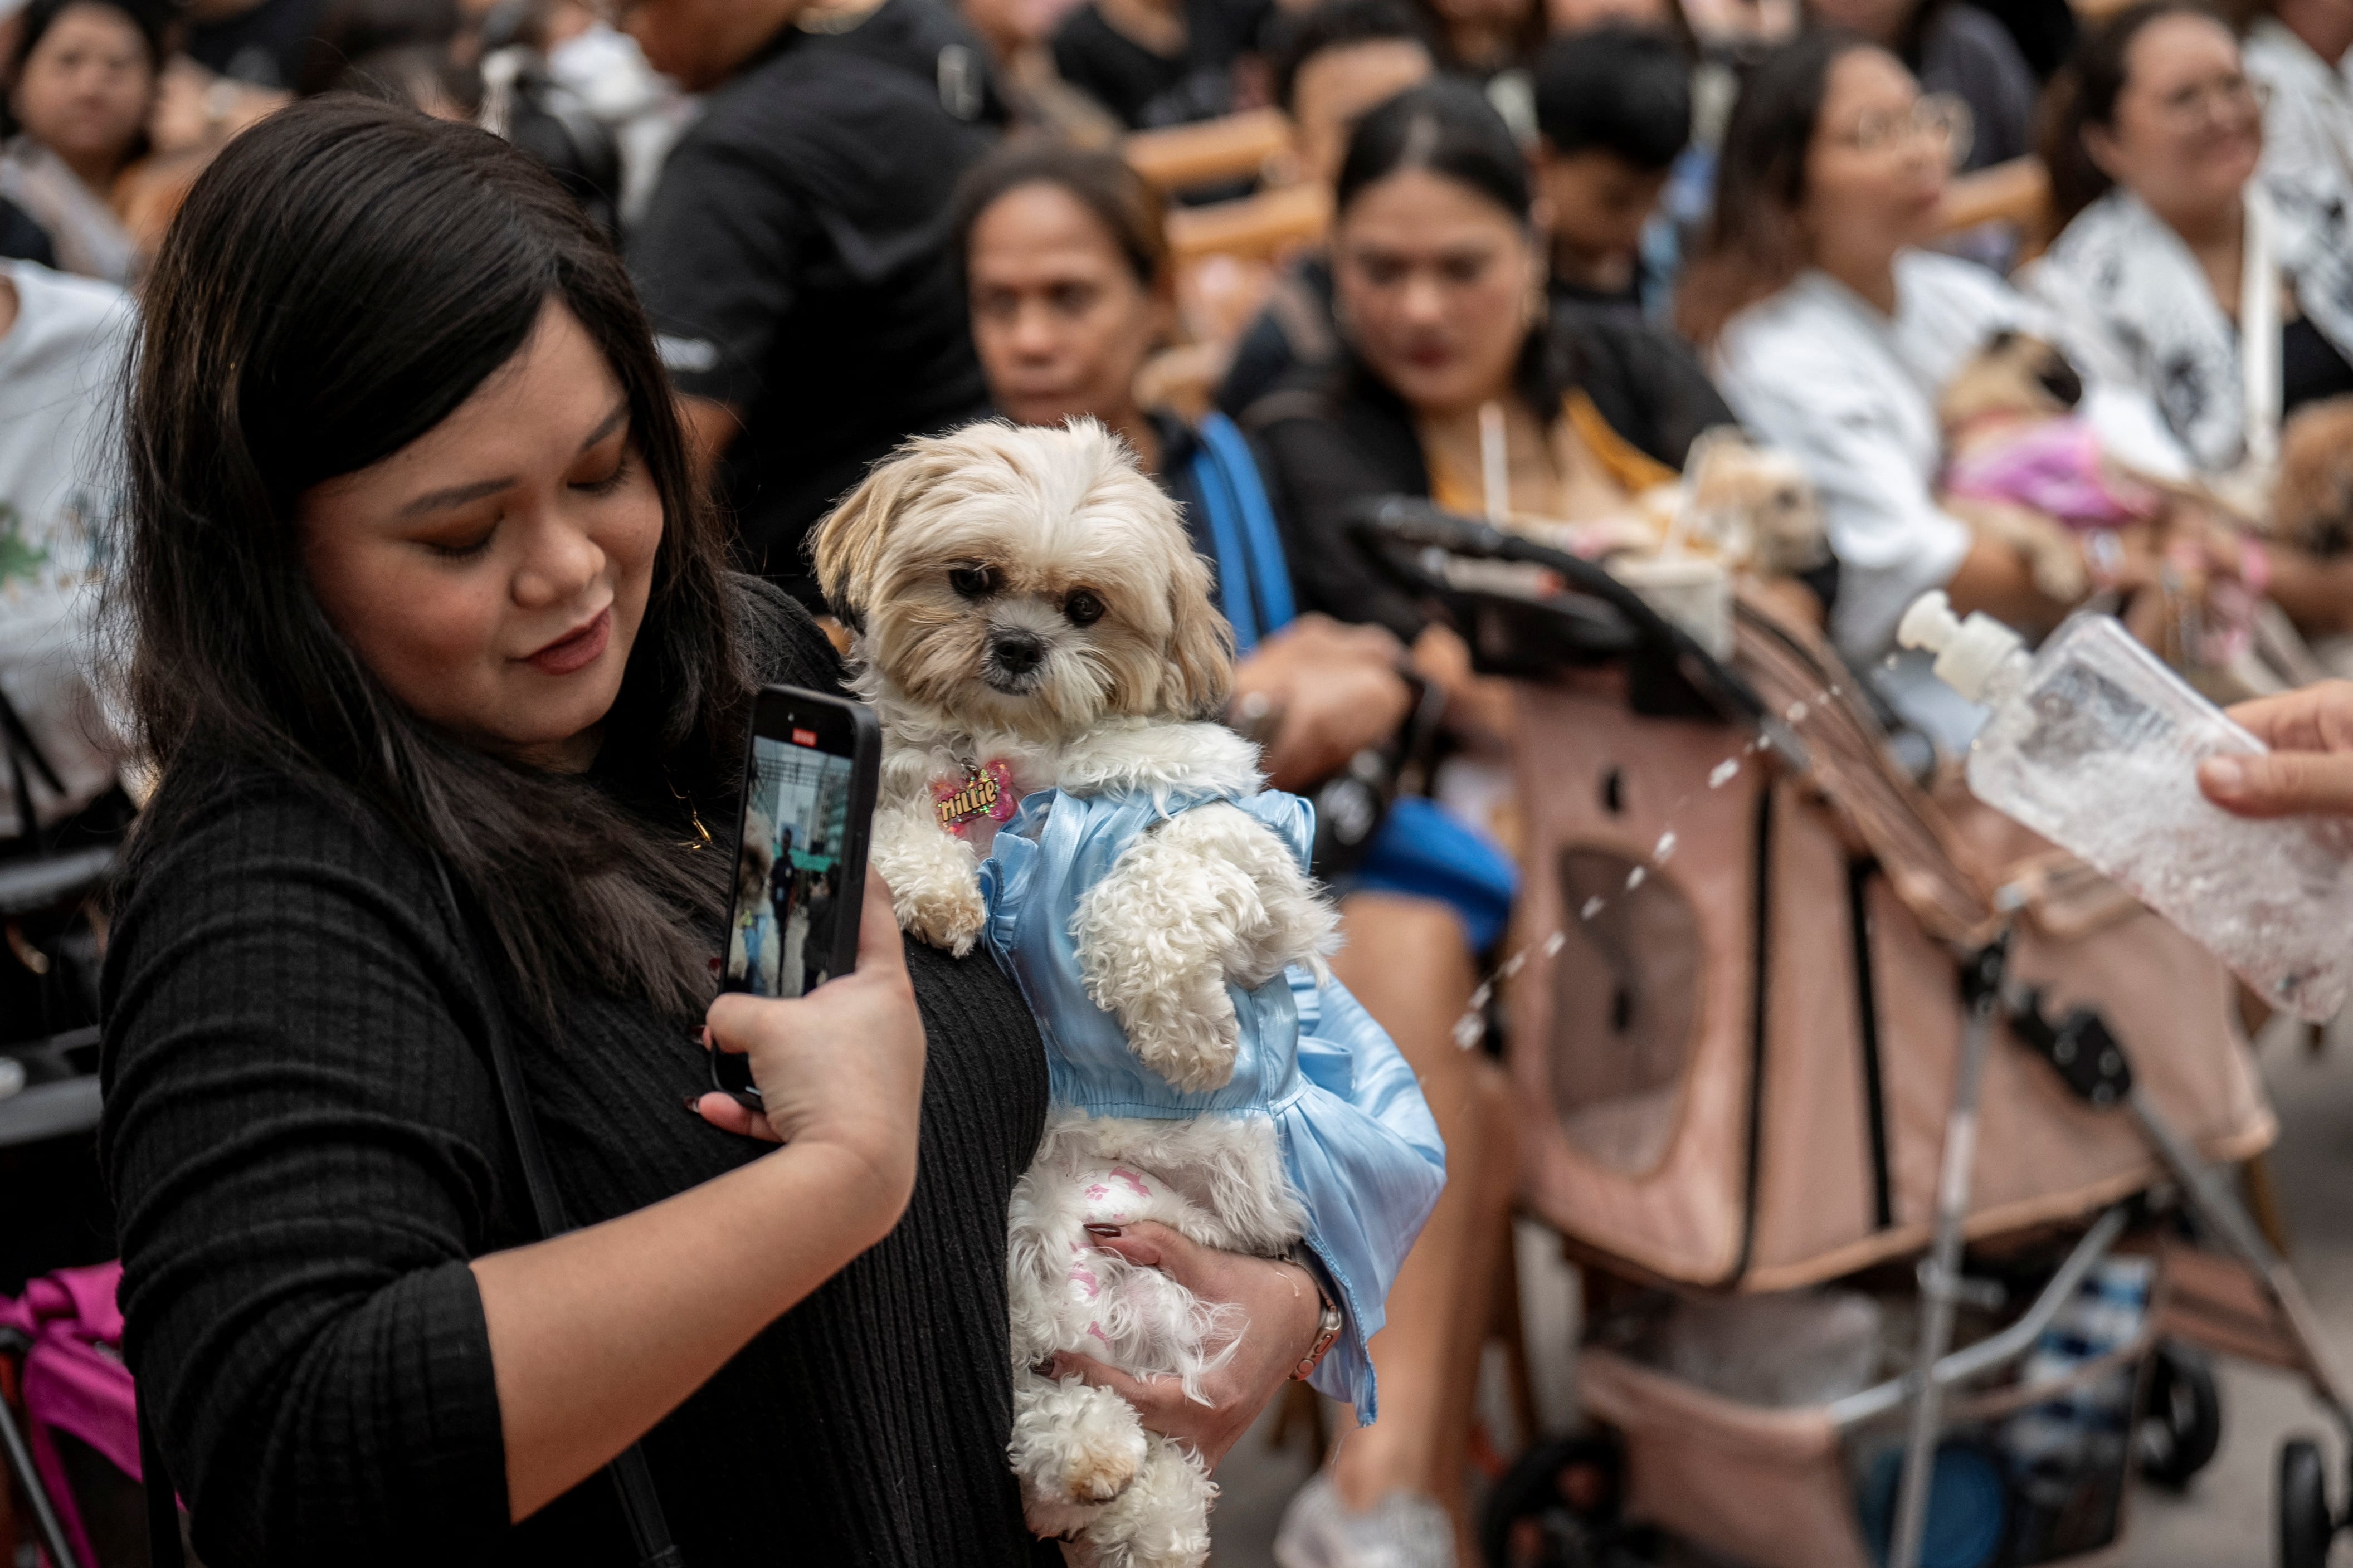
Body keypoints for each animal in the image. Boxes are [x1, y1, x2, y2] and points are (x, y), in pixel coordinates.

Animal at [824, 416, 1449, 1568]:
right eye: (970, 580)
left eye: (1085, 607)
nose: (1018, 646)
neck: (1013, 769)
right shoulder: (899, 784)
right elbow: (896, 830)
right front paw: (936, 892)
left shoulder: (1250, 855)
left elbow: (1150, 886)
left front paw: (1187, 1039)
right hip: (1029, 1241)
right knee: (1062, 1403)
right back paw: (1088, 1460)